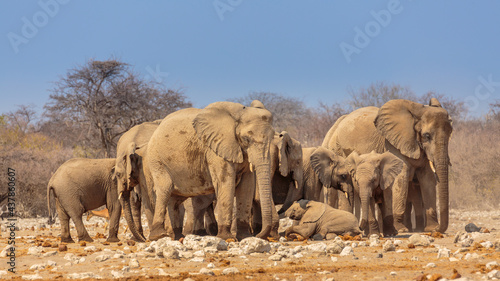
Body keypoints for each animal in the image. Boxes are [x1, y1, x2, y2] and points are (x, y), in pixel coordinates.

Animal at [146, 99, 276, 240]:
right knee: (165, 190)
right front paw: (227, 238)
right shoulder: (215, 149)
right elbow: (226, 182)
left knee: (175, 199)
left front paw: (245, 237)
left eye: (272, 138)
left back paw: (179, 236)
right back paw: (159, 236)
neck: (240, 112)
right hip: (156, 159)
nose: (258, 234)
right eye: (246, 139)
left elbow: (246, 187)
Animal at [324, 98, 454, 232]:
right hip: (337, 150)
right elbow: (401, 179)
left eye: (450, 133)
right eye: (427, 136)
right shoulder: (392, 144)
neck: (417, 111)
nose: (438, 229)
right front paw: (401, 229)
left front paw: (431, 228)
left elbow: (428, 179)